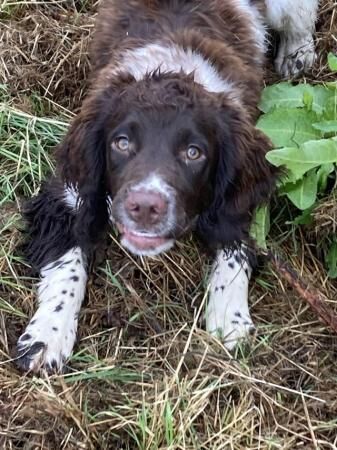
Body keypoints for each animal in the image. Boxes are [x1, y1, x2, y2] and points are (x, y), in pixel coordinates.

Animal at [16, 0, 318, 372]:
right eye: (121, 143)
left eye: (194, 152)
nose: (145, 207)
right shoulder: (71, 190)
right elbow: (67, 264)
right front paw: (47, 334)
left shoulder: (236, 194)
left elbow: (235, 247)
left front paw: (230, 319)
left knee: (302, 16)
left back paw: (297, 53)